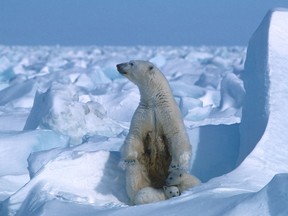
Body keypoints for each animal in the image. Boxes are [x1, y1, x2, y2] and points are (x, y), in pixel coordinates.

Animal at [116, 60, 192, 202]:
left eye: (131, 63)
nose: (118, 65)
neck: (154, 101)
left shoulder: (168, 113)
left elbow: (177, 134)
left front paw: (177, 164)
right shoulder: (143, 114)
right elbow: (135, 135)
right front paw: (127, 160)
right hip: (143, 170)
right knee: (135, 175)